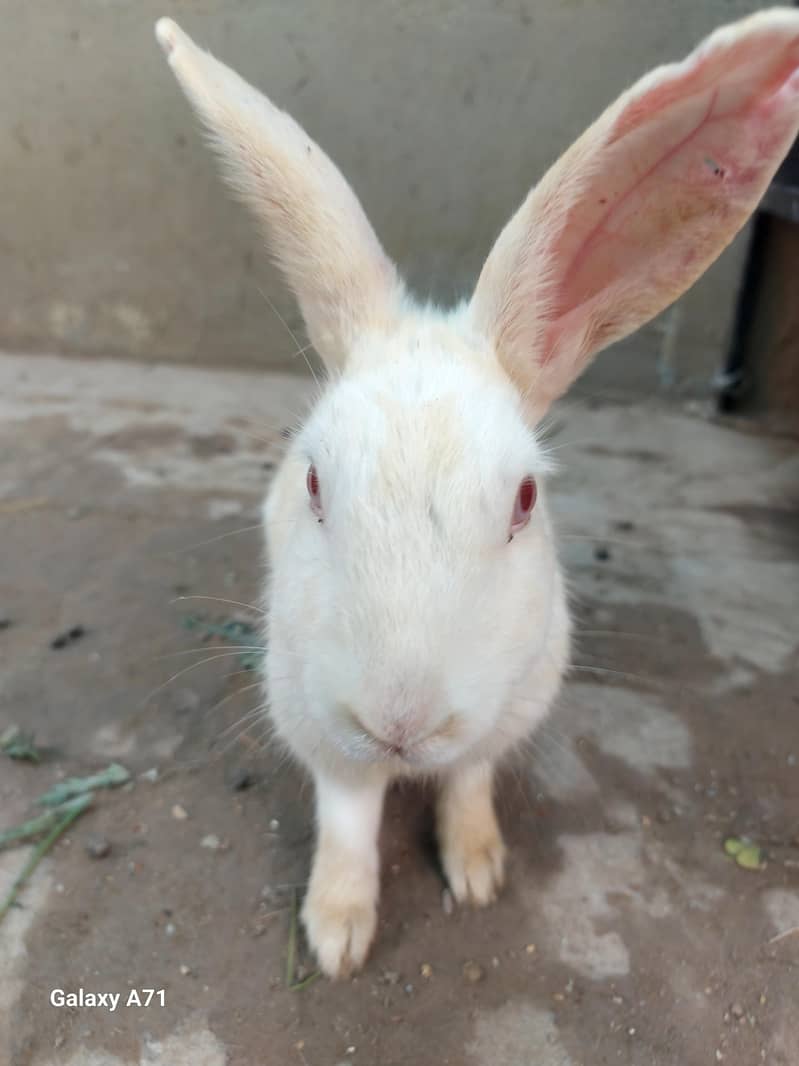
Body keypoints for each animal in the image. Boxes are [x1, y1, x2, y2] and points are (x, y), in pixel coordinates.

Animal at [155, 10, 799, 978]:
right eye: (312, 479)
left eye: (525, 499)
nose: (399, 718)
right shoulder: (319, 731)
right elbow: (347, 825)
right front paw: (337, 934)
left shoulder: (503, 718)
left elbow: (466, 786)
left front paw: (478, 870)